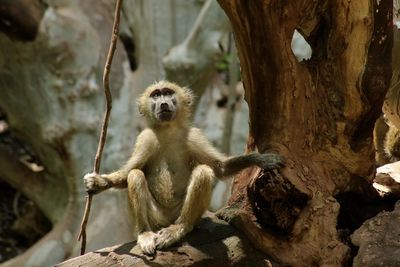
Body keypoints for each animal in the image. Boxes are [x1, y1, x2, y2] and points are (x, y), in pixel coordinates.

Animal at [83, 80, 284, 255]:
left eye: (168, 93)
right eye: (156, 95)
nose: (163, 103)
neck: (168, 130)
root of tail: (167, 220)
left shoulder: (194, 135)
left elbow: (220, 168)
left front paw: (259, 159)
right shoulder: (145, 139)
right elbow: (126, 175)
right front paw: (98, 182)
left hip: (182, 213)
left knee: (203, 172)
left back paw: (179, 228)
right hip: (156, 217)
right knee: (135, 175)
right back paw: (145, 233)